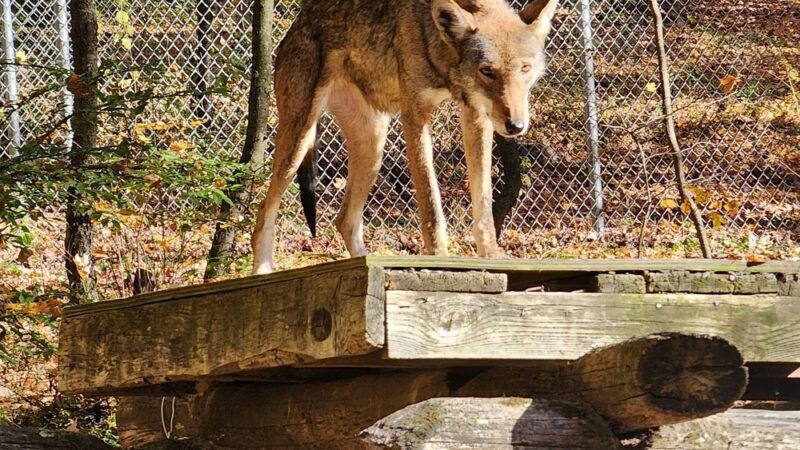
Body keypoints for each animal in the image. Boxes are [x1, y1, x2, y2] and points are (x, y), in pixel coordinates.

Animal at [251, 0, 559, 274]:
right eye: (487, 71)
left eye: (525, 69)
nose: (516, 126)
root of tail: (297, 25)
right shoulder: (415, 116)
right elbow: (431, 205)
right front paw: (439, 258)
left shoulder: (476, 117)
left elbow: (483, 206)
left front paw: (492, 257)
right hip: (299, 139)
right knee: (263, 214)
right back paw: (262, 274)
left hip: (373, 146)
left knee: (345, 221)